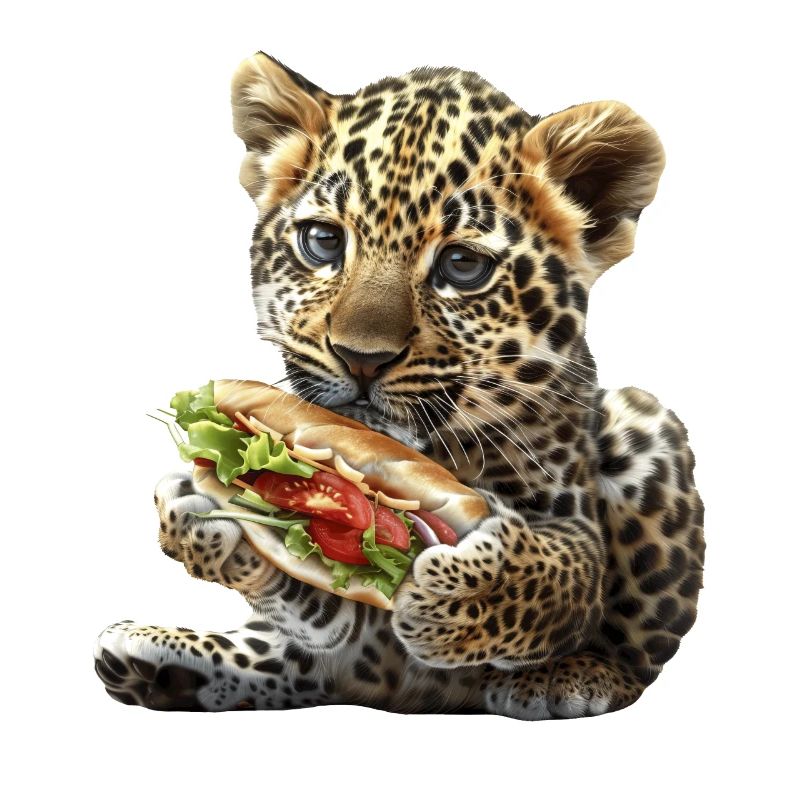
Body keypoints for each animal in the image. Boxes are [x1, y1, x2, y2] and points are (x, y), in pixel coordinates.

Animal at [95, 52, 705, 719]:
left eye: (463, 266)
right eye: (324, 242)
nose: (361, 359)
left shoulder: (570, 518)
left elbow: (563, 569)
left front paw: (463, 593)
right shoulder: (340, 612)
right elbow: (317, 606)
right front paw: (195, 512)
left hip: (643, 424)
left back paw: (576, 677)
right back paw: (158, 658)